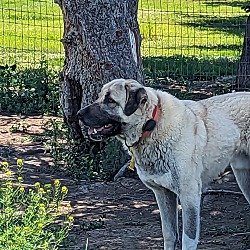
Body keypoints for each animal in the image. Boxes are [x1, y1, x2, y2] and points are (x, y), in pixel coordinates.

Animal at [77, 79, 250, 250]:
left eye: (110, 100)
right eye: (99, 97)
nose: (78, 114)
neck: (152, 125)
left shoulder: (189, 195)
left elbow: (188, 239)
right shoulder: (163, 194)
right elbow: (169, 234)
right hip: (243, 177)